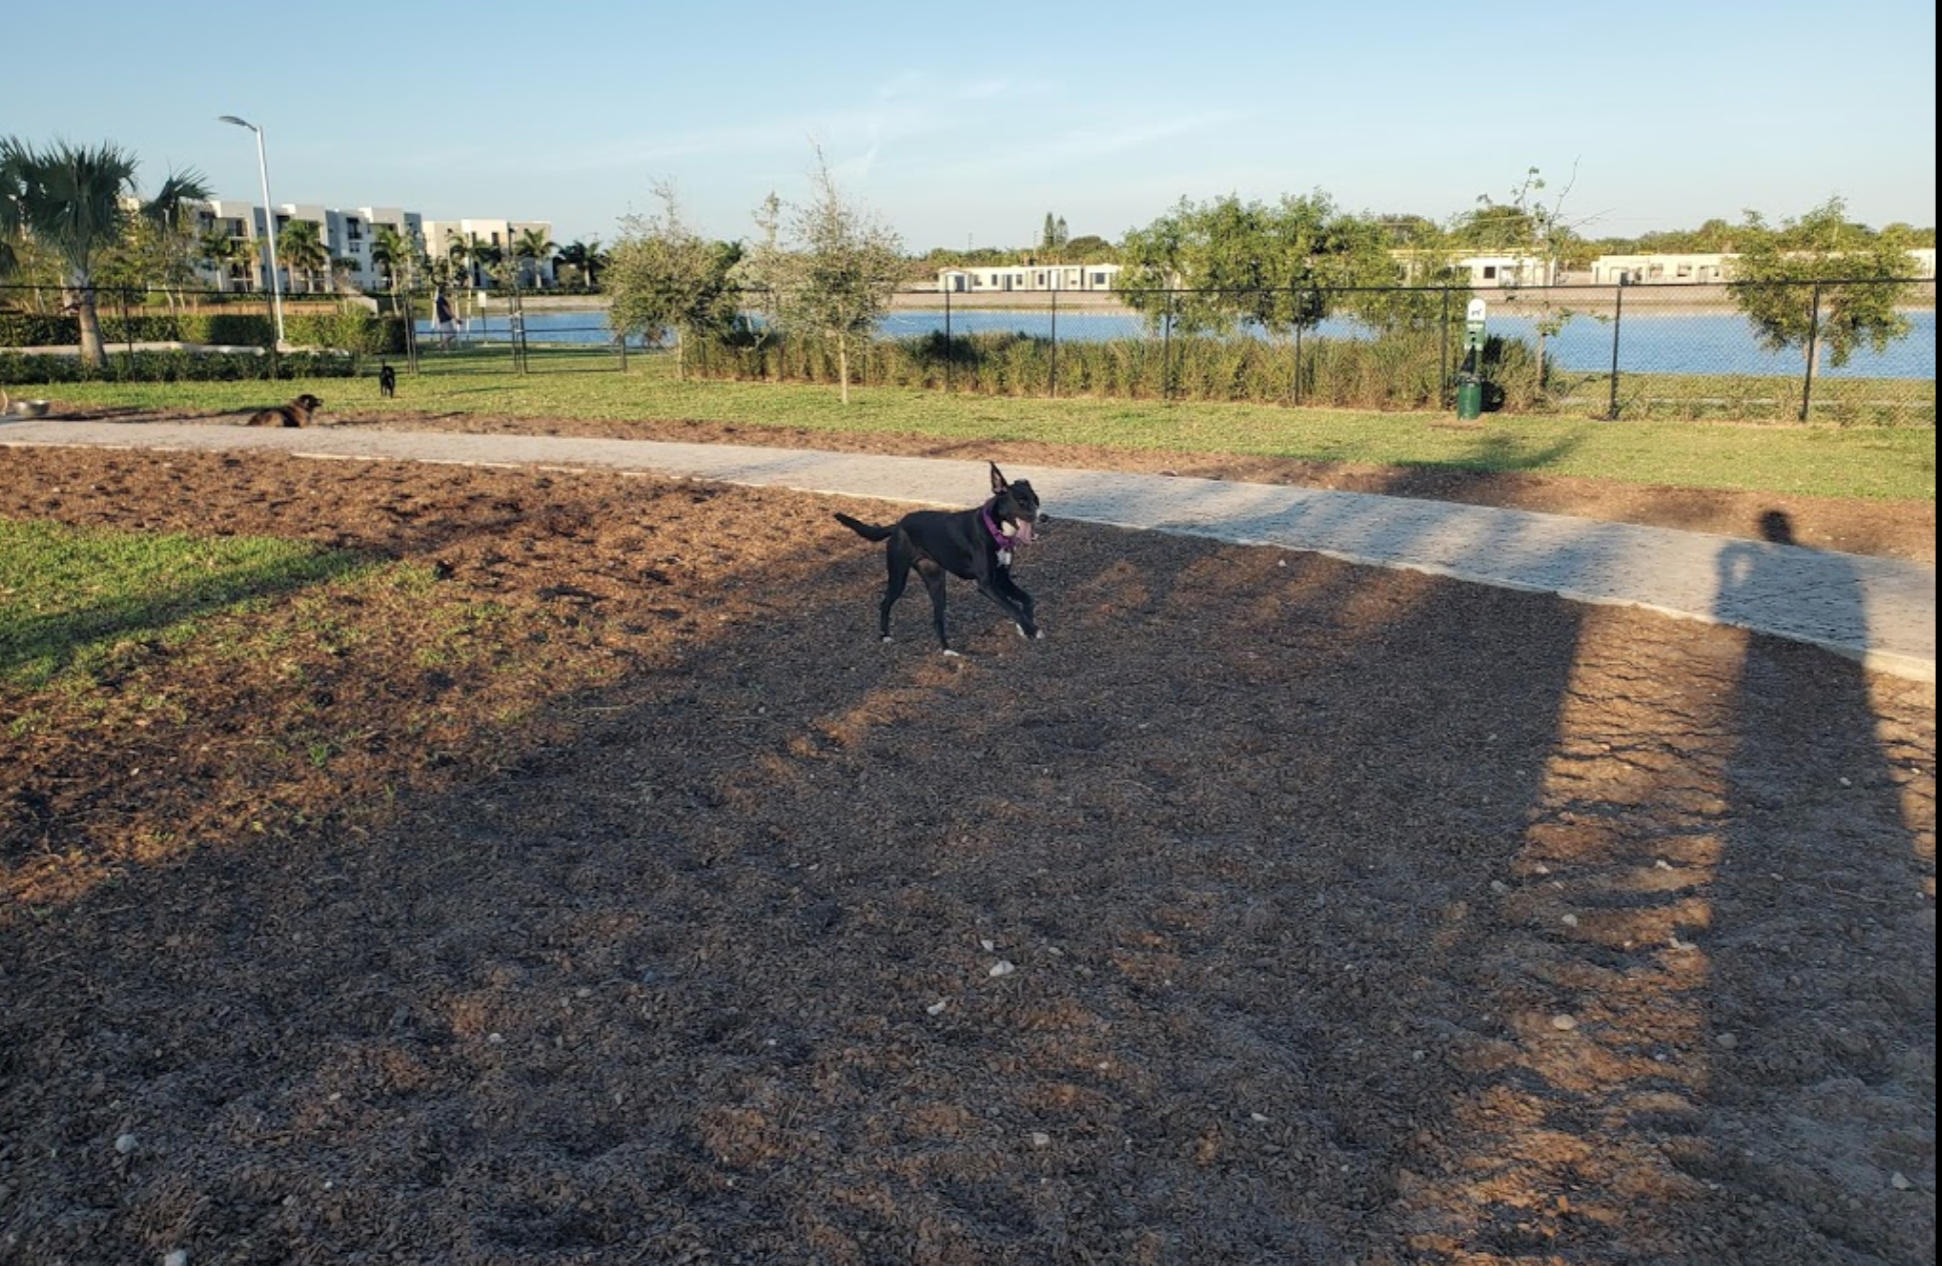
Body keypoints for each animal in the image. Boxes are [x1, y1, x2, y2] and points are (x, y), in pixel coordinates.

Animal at [838, 458, 1048, 652]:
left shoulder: (1002, 579)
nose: (1044, 517)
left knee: (937, 619)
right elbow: (1012, 606)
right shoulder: (987, 584)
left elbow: (1027, 599)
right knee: (884, 604)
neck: (994, 529)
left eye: (1036, 500)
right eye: (1022, 502)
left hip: (936, 581)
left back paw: (948, 651)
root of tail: (898, 525)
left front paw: (1025, 628)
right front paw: (1030, 629)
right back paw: (885, 636)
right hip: (898, 576)